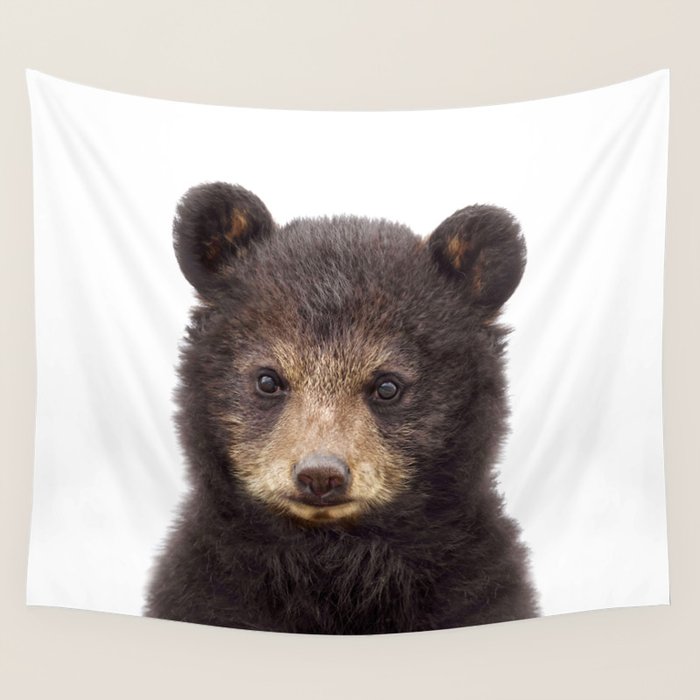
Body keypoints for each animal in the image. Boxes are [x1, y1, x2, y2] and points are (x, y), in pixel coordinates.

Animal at [144, 182, 539, 634]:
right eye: (268, 380)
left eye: (387, 386)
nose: (320, 475)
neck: (336, 563)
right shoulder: (206, 587)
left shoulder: (476, 589)